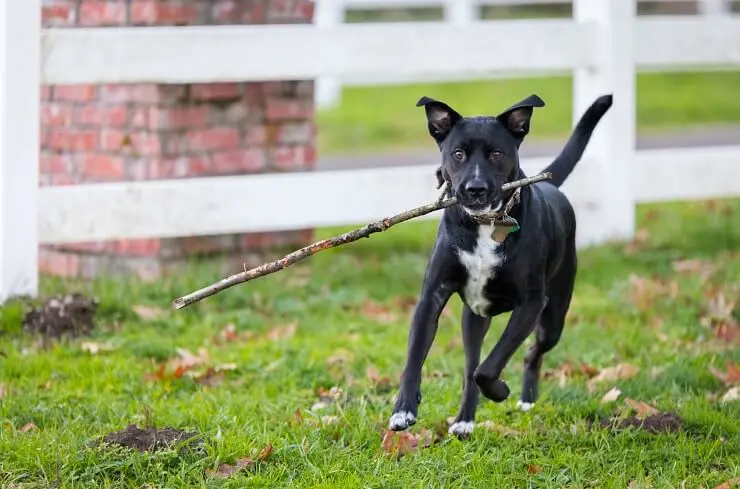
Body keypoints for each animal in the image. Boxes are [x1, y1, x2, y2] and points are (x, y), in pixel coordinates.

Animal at [388, 93, 612, 436]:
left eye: (496, 154)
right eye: (458, 154)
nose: (475, 189)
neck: (485, 224)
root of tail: (551, 186)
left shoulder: (530, 304)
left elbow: (491, 365)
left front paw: (500, 391)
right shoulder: (431, 297)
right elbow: (416, 358)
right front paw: (403, 409)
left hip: (553, 316)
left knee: (530, 353)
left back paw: (526, 398)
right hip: (473, 319)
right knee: (470, 366)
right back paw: (464, 421)